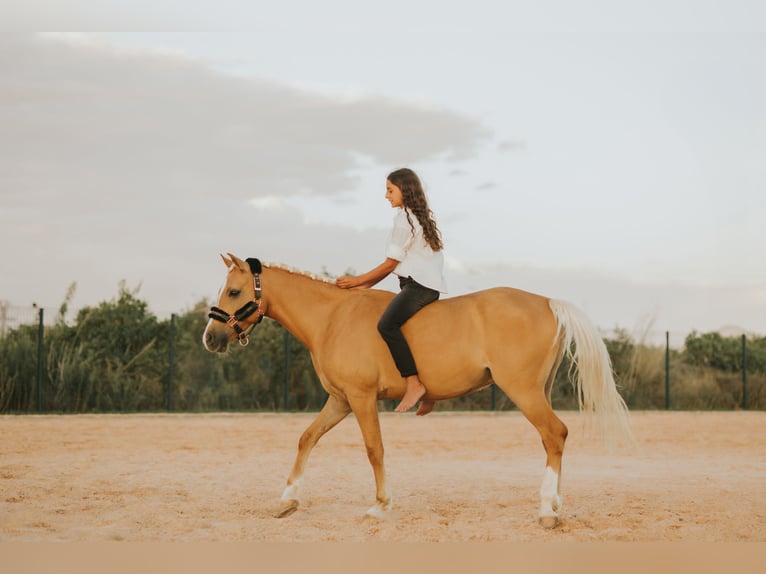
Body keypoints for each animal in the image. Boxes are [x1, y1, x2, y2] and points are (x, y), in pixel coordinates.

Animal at [201, 254, 632, 528]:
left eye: (234, 292)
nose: (210, 338)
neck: (332, 317)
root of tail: (546, 301)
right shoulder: (339, 401)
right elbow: (306, 438)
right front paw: (288, 499)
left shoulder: (360, 399)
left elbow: (374, 449)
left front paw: (379, 507)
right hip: (537, 391)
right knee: (551, 439)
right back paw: (554, 503)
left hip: (524, 391)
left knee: (554, 434)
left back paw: (547, 511)